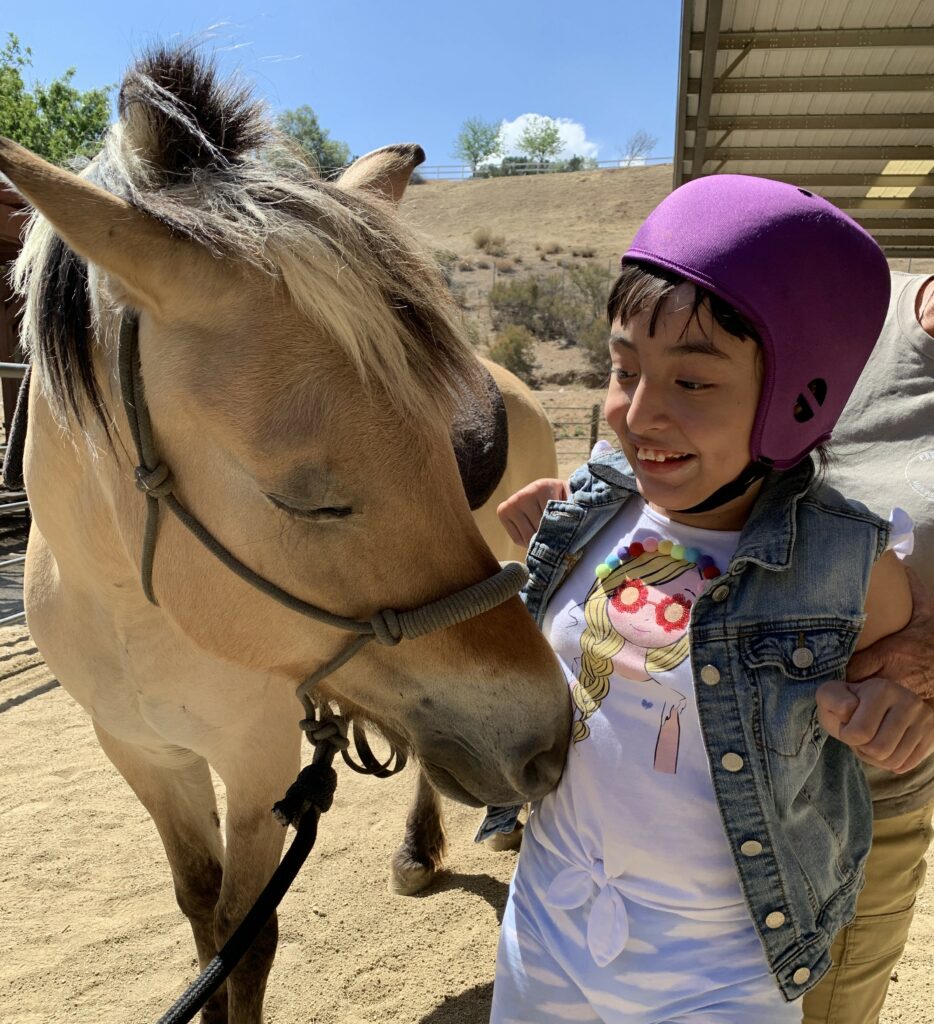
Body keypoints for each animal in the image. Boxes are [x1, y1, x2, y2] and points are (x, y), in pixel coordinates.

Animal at [1, 46, 569, 1023]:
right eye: (307, 503)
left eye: (451, 452)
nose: (551, 738)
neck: (133, 613)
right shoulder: (144, 756)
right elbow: (201, 916)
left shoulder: (257, 758)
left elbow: (246, 934)